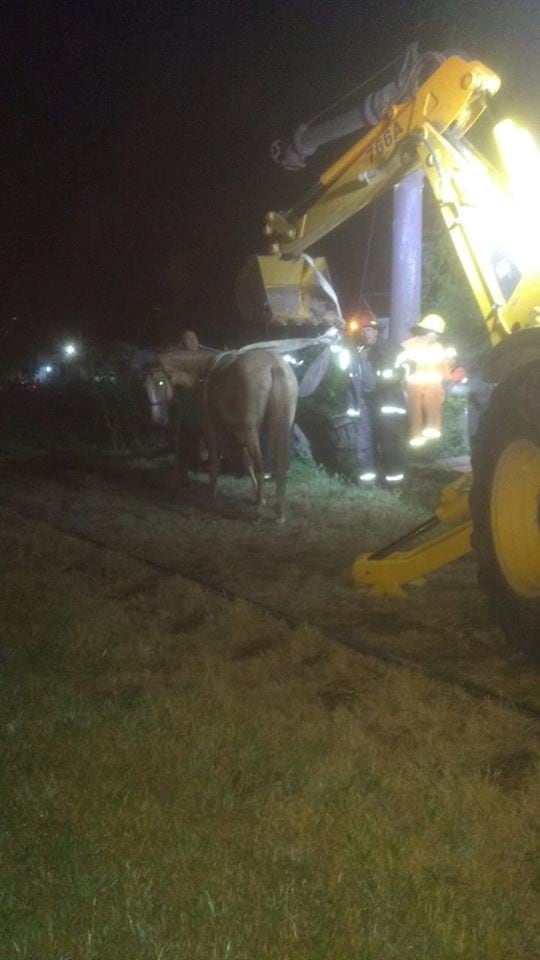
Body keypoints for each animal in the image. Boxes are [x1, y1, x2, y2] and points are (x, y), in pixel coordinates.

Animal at [147, 346, 300, 520]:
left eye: (160, 382)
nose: (157, 419)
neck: (202, 371)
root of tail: (273, 366)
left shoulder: (210, 427)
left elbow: (214, 459)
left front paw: (212, 494)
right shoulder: (237, 431)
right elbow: (246, 460)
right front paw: (257, 496)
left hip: (252, 429)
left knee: (260, 464)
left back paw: (259, 511)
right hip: (280, 427)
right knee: (279, 465)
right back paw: (279, 512)